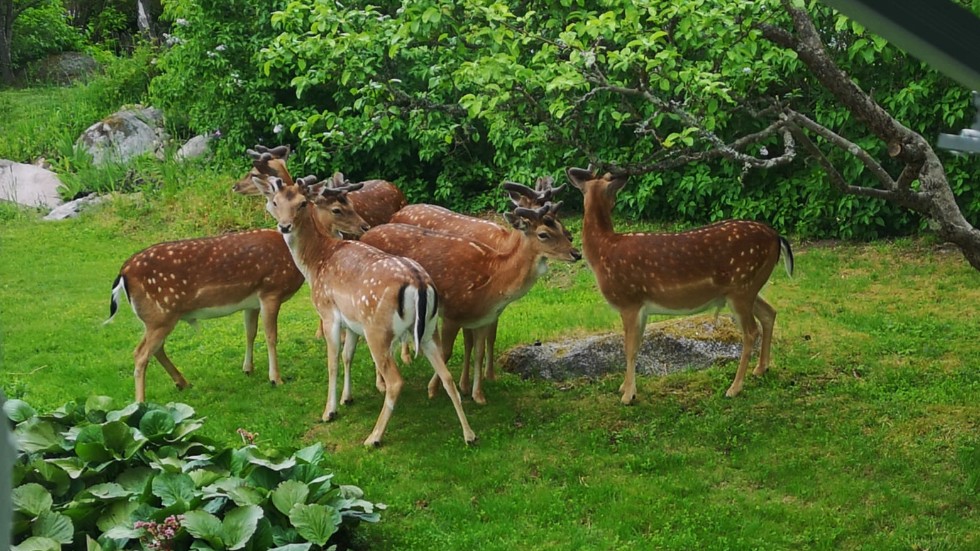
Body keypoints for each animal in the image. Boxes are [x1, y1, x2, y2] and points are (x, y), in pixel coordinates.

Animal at [105, 179, 370, 404]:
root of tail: (123, 274)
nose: (364, 225)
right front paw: (275, 378)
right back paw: (141, 403)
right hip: (159, 314)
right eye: (337, 209)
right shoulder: (270, 290)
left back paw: (183, 383)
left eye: (302, 203)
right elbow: (271, 336)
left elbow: (250, 332)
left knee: (155, 350)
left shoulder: (251, 301)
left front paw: (248, 368)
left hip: (157, 317)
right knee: (140, 354)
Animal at [251, 177, 476, 448]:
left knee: (396, 381)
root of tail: (420, 284)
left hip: (378, 329)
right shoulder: (352, 322)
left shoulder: (328, 313)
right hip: (429, 330)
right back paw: (469, 435)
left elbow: (333, 362)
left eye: (302, 202)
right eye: (275, 201)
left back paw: (374, 437)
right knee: (446, 375)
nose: (284, 226)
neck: (315, 263)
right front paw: (347, 398)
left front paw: (330, 411)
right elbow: (347, 356)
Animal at [360, 201, 580, 404]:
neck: (492, 282)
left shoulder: (482, 319)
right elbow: (446, 352)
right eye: (543, 234)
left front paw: (478, 395)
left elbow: (479, 352)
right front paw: (432, 389)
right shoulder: (453, 311)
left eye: (560, 225)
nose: (576, 253)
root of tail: (363, 235)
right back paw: (381, 383)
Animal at [568, 166, 796, 404]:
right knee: (769, 313)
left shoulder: (629, 300)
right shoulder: (641, 307)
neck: (603, 250)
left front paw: (628, 395)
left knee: (751, 331)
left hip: (742, 286)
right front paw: (625, 387)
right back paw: (761, 369)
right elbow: (637, 344)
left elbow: (629, 348)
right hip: (747, 287)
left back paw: (734, 388)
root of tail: (776, 237)